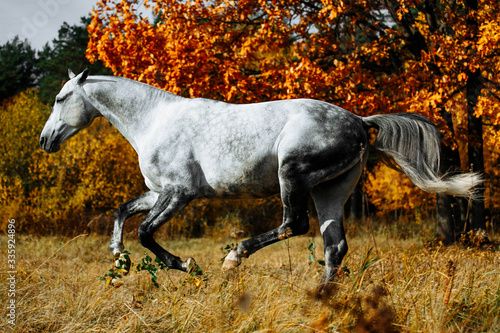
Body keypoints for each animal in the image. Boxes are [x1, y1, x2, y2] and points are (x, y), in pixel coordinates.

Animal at [40, 69, 480, 282]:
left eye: (61, 98)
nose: (45, 141)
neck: (154, 120)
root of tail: (359, 120)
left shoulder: (179, 192)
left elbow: (145, 232)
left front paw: (188, 266)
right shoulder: (158, 191)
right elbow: (121, 211)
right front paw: (119, 261)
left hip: (294, 176)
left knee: (295, 224)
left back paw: (234, 258)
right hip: (330, 190)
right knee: (334, 246)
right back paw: (321, 296)